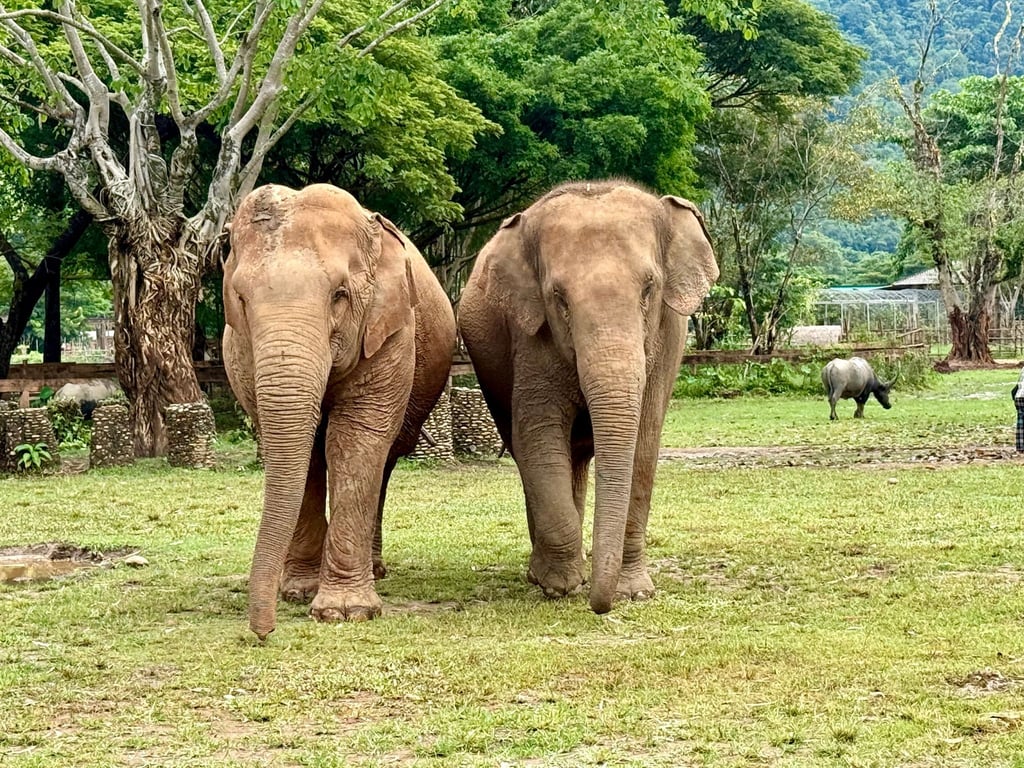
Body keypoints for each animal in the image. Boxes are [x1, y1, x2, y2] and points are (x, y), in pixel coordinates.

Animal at [222, 183, 456, 639]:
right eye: (240, 298)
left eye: (339, 295)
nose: (263, 632)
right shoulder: (241, 353)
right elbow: (301, 452)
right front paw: (298, 591)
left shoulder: (390, 333)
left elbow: (354, 441)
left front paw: (346, 612)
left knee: (385, 460)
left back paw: (376, 569)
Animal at [458, 180, 719, 613]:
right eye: (559, 298)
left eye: (649, 288)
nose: (601, 606)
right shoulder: (530, 337)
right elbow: (537, 438)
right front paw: (560, 587)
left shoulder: (667, 338)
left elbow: (644, 445)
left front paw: (635, 592)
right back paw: (546, 572)